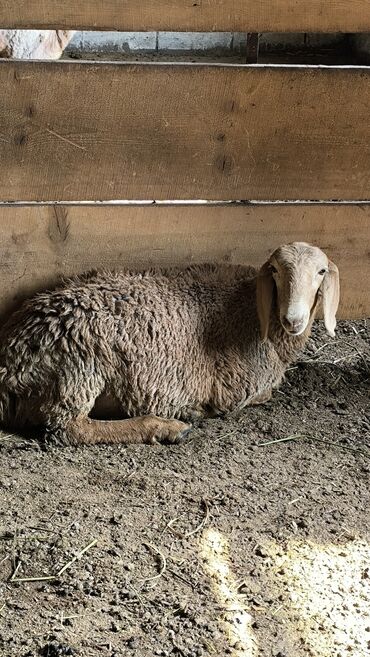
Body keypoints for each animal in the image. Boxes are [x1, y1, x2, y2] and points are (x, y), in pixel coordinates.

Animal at [0, 241, 338, 446]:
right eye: (276, 271)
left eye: (321, 272)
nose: (293, 319)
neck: (251, 308)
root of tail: (10, 364)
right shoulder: (235, 387)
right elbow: (262, 395)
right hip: (80, 366)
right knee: (68, 428)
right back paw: (166, 426)